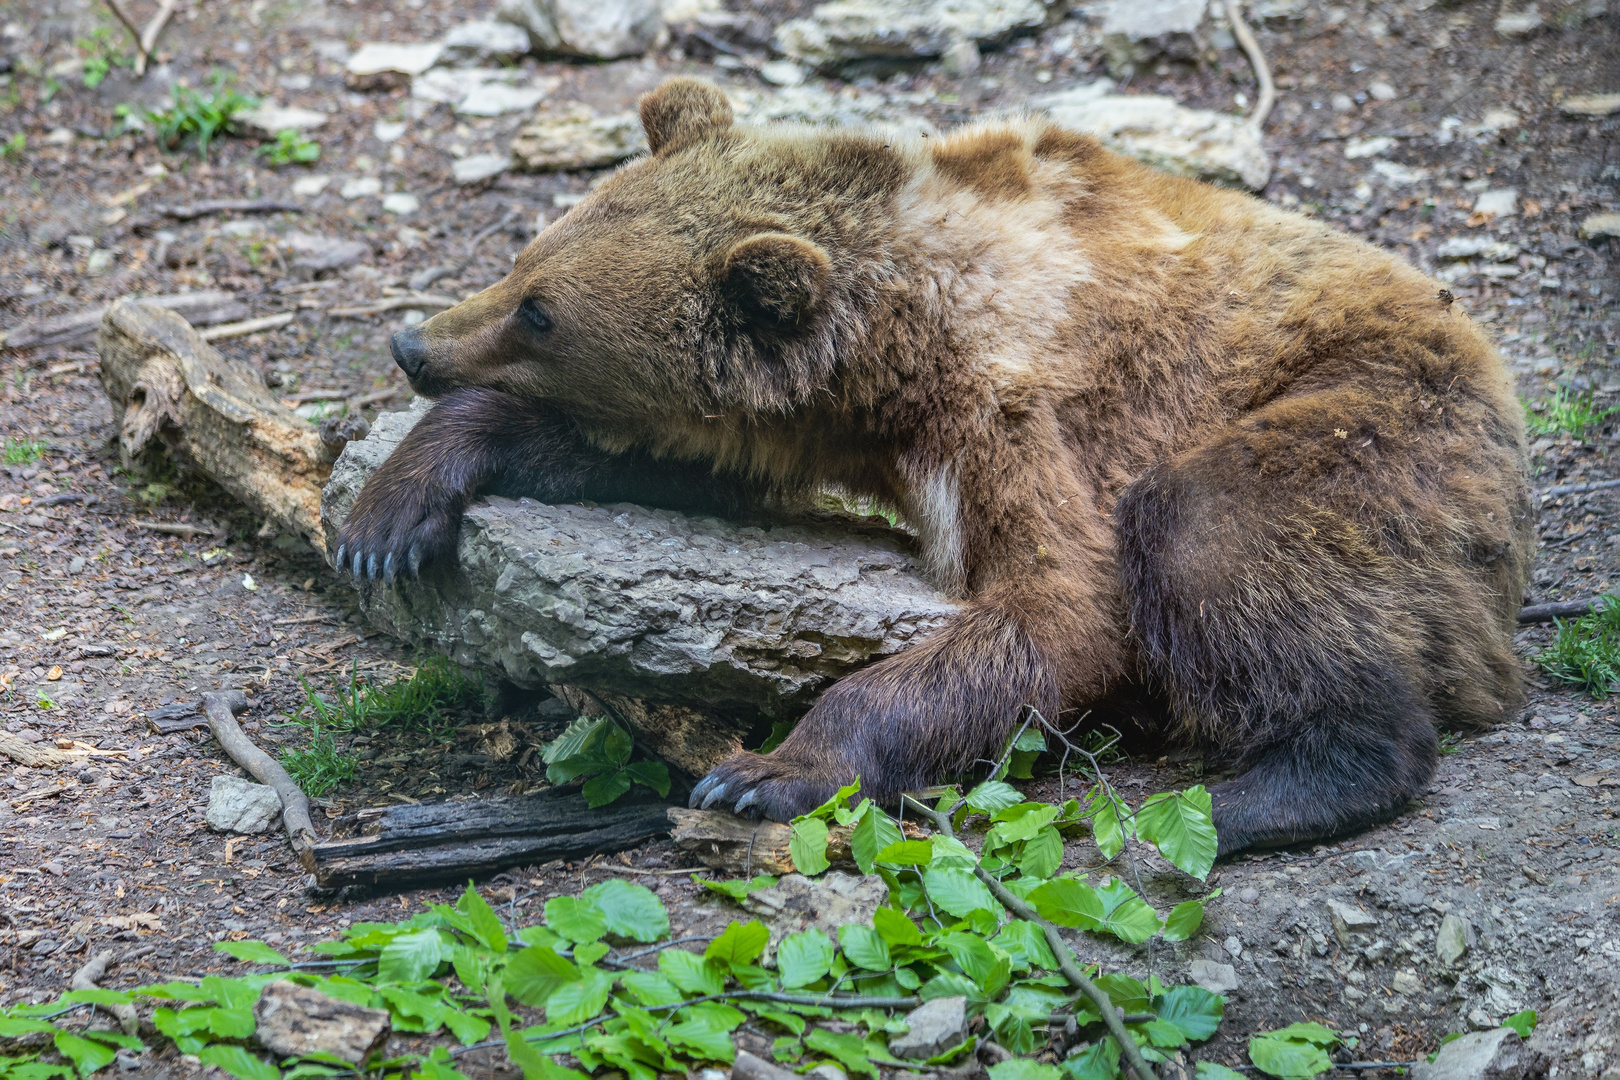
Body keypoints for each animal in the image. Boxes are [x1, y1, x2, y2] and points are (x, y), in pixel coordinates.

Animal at [338, 78, 1529, 854]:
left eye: (541, 313)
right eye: (527, 260)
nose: (410, 345)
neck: (899, 341)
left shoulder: (1022, 405)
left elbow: (1063, 603)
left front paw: (765, 770)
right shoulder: (812, 429)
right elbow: (668, 460)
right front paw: (392, 512)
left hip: (1378, 412)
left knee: (1218, 530)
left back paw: (1261, 792)